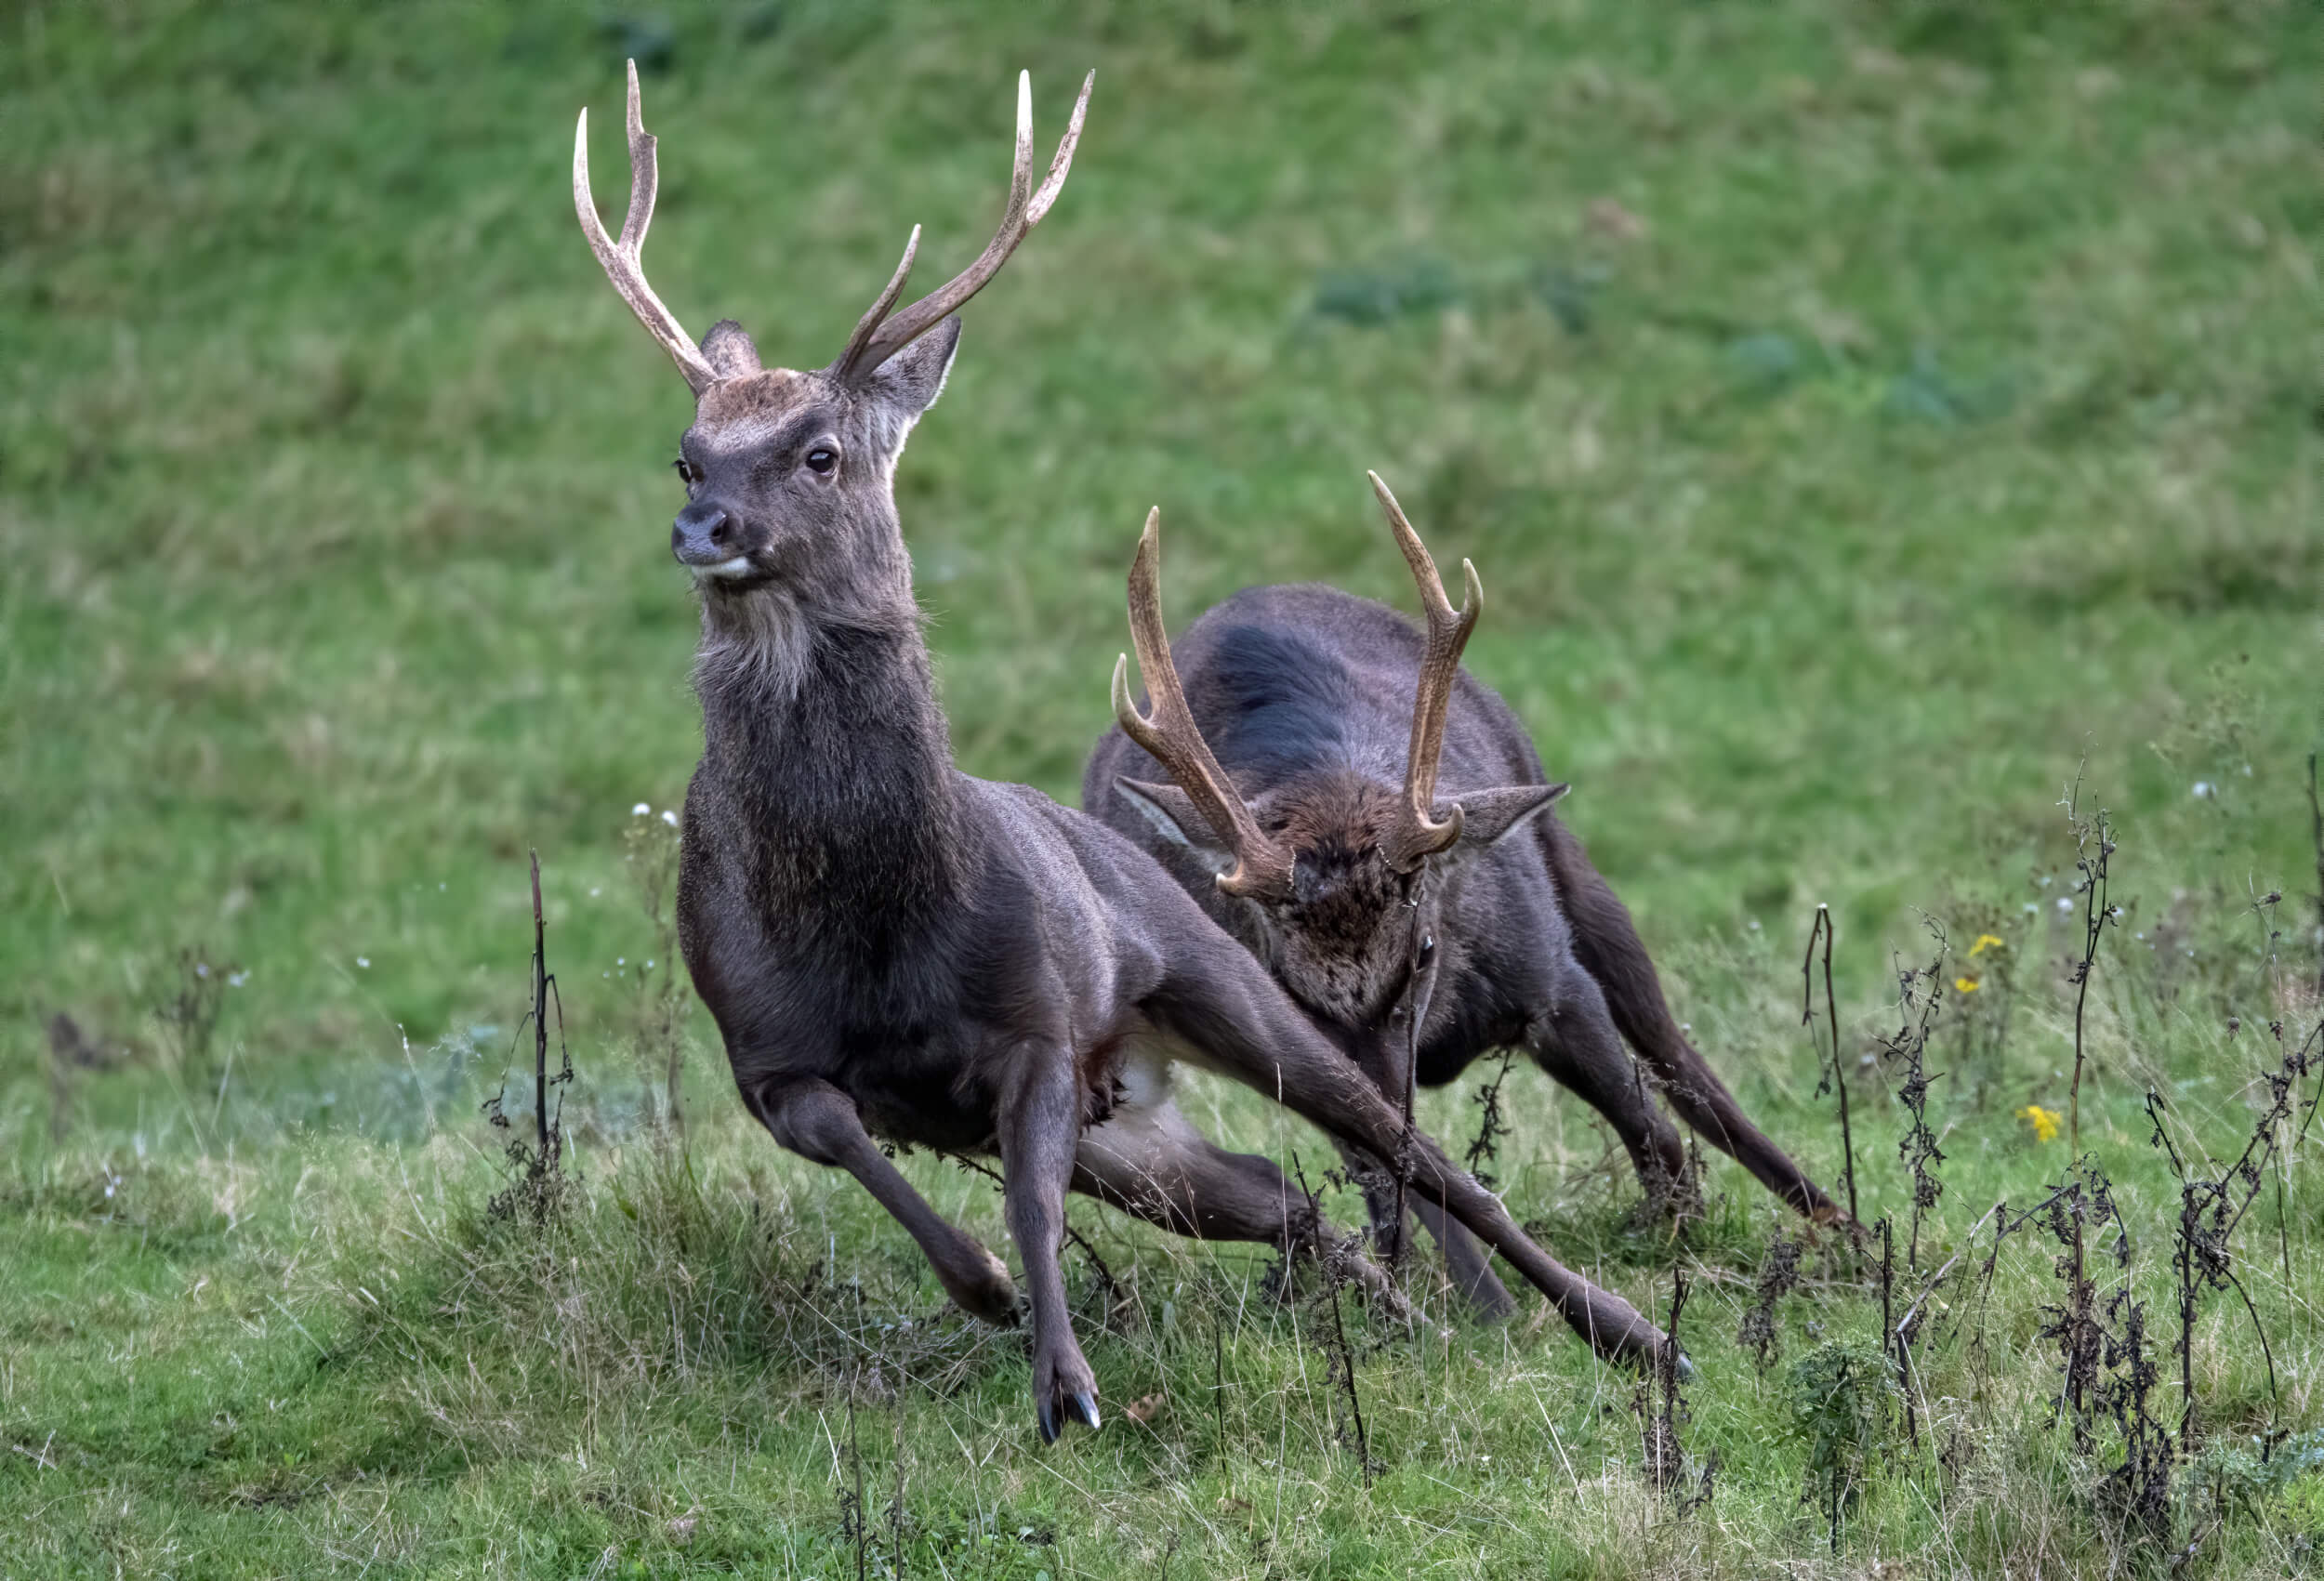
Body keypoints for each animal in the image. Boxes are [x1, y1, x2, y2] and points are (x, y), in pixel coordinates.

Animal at [569, 62, 1680, 1440]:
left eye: (819, 452)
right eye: (687, 455)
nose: (703, 525)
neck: (877, 921)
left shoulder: (1040, 1020)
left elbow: (1029, 1200)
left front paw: (1069, 1385)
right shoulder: (769, 1066)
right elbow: (899, 1178)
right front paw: (997, 1301)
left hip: (1220, 981)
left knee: (1414, 1153)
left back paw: (1633, 1336)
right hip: (1135, 1130)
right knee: (1276, 1188)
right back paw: (1405, 1316)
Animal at [1083, 474, 1846, 1321]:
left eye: (1422, 951)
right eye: (1283, 979)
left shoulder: (1549, 976)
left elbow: (1648, 1118)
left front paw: (1680, 1231)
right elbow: (1414, 1182)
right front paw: (1479, 1302)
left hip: (1567, 861)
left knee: (1675, 1054)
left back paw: (1831, 1214)